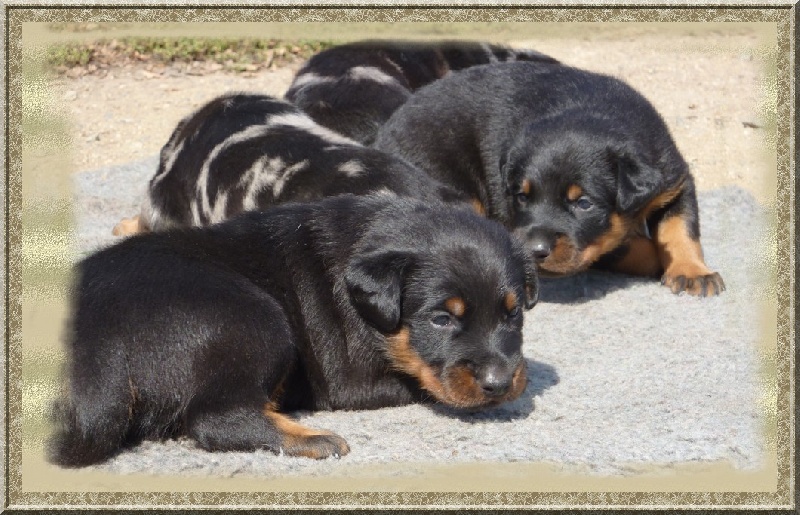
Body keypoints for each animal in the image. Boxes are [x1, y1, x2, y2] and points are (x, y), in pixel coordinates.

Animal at [50, 194, 540, 468]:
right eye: (441, 319)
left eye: (513, 314)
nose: (500, 384)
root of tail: (94, 343)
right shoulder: (350, 379)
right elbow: (422, 385)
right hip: (254, 317)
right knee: (216, 418)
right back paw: (311, 438)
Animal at [376, 62, 724, 296]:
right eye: (522, 197)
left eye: (583, 203)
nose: (534, 250)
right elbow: (628, 244)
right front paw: (659, 260)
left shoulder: (674, 179)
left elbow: (680, 230)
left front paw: (692, 272)